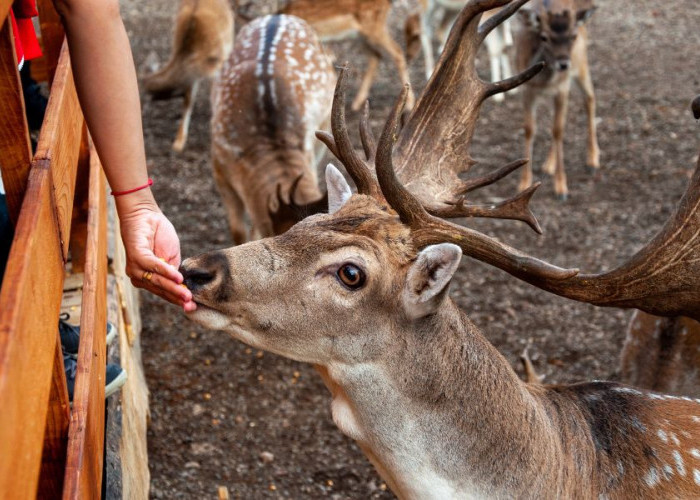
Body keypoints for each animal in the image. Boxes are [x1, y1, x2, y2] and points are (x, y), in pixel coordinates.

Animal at [516, 0, 600, 199]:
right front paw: (524, 183)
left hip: (581, 64)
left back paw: (593, 159)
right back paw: (548, 165)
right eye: (544, 37)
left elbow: (558, 130)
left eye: (573, 36)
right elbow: (530, 129)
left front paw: (561, 187)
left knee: (589, 98)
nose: (563, 64)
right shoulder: (527, 90)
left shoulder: (562, 88)